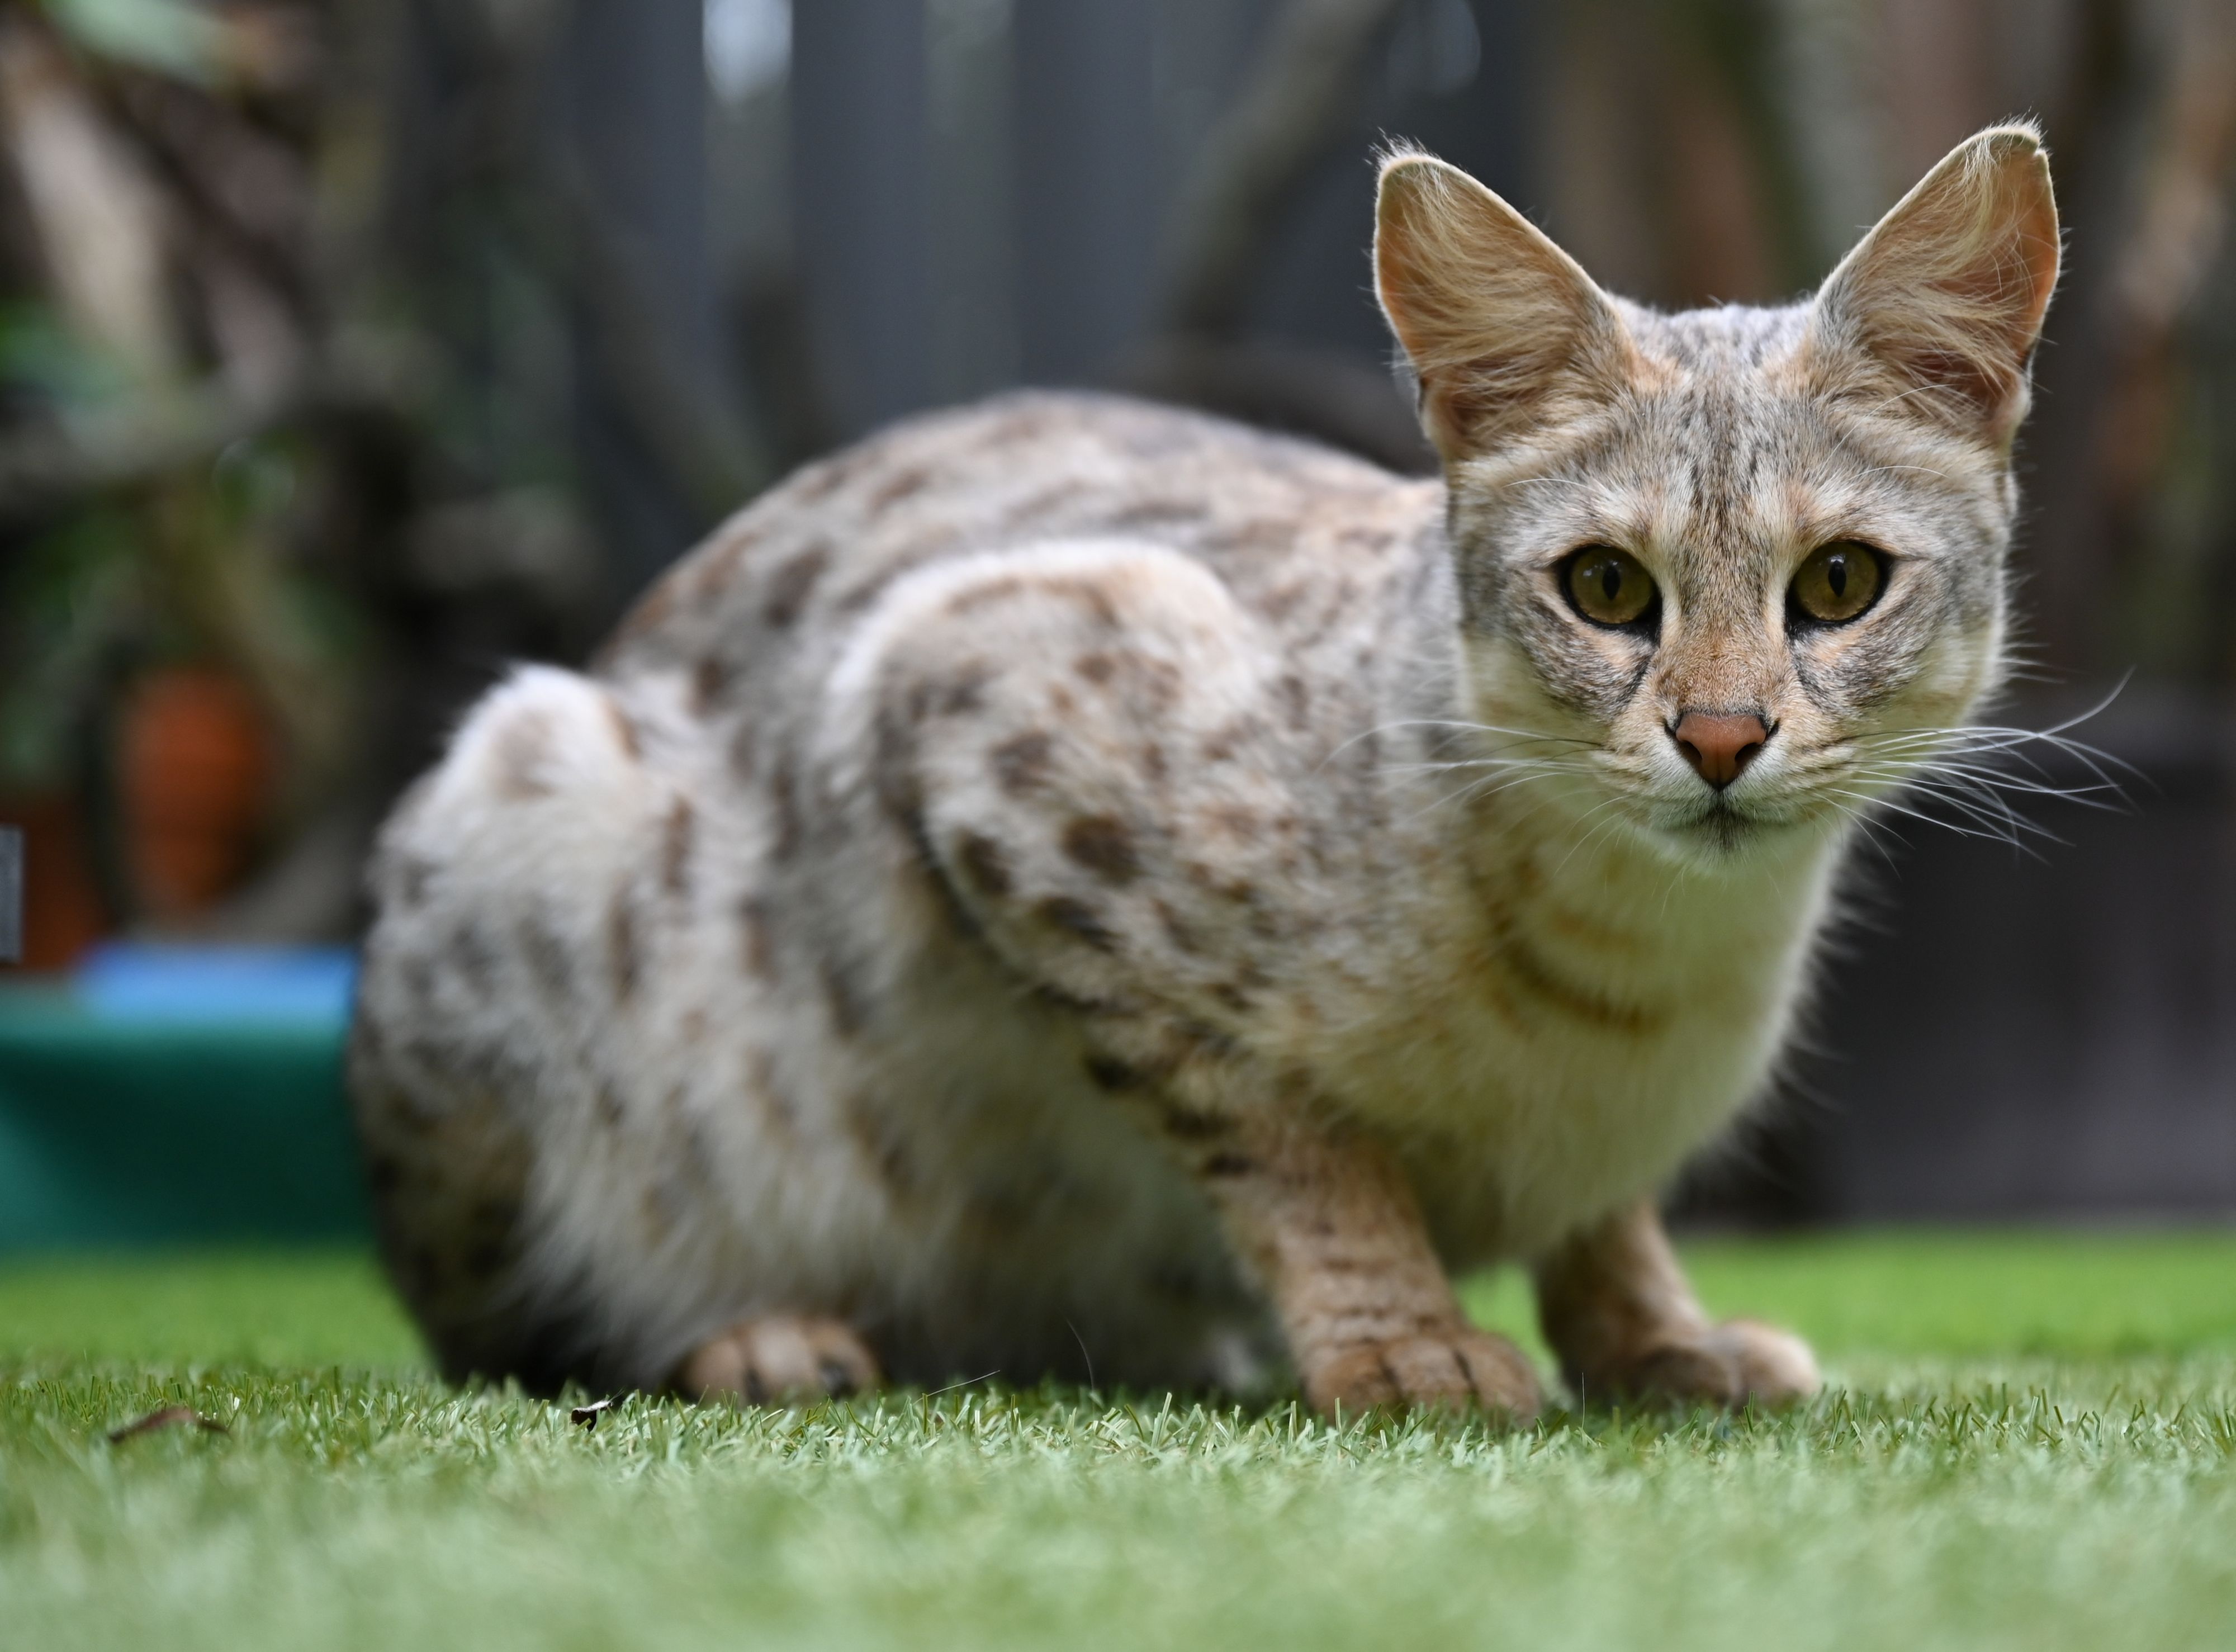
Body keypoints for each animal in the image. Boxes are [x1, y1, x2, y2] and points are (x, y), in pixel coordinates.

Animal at [344, 125, 2057, 1422]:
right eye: (1604, 589)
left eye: (1836, 584)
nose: (1716, 736)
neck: (1649, 973)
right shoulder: (986, 698)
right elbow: (1290, 1141)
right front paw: (1402, 1337)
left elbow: (1603, 1214)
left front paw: (1656, 1337)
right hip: (523, 808)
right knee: (509, 1338)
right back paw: (755, 1335)